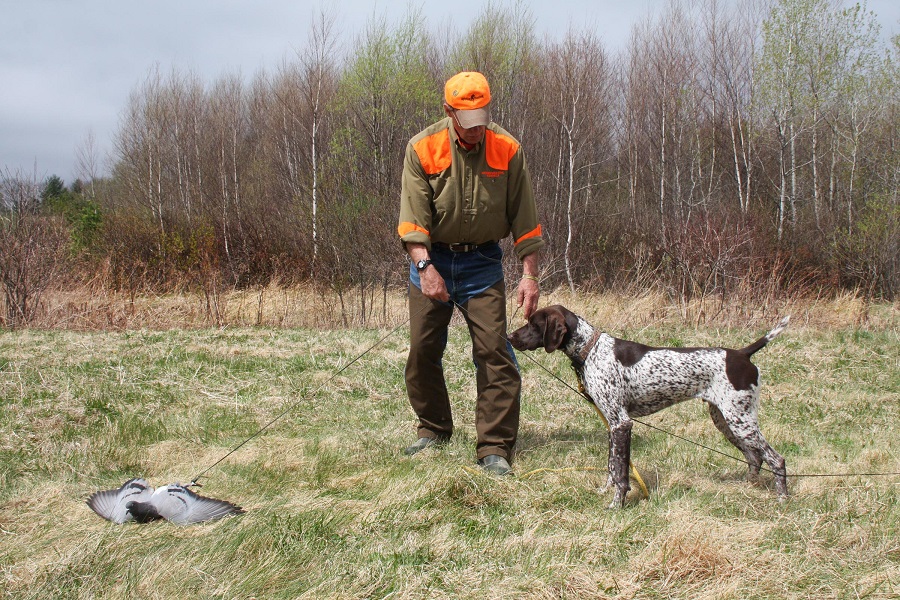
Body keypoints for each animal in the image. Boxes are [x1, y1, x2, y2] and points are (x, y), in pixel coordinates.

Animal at [510, 304, 792, 506]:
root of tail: (742, 354)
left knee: (775, 459)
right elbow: (612, 465)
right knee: (754, 457)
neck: (591, 350)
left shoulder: (621, 423)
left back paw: (782, 499)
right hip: (725, 420)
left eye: (533, 324)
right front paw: (604, 490)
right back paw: (748, 488)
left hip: (740, 420)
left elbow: (622, 472)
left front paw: (617, 504)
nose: (510, 336)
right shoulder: (612, 424)